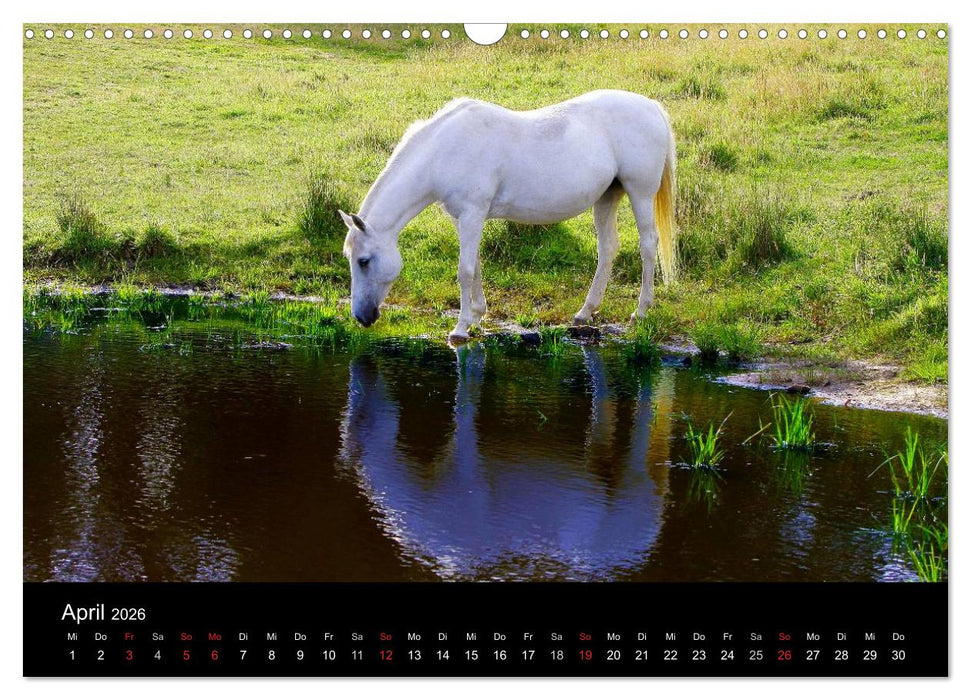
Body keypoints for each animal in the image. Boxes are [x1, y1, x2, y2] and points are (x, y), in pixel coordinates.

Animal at [339, 89, 677, 342]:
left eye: (364, 261)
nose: (362, 317)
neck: (444, 149)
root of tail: (651, 107)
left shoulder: (472, 214)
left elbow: (465, 270)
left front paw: (460, 328)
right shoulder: (463, 218)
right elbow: (475, 264)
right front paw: (477, 315)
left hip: (640, 193)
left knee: (648, 246)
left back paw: (641, 311)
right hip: (607, 197)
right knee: (608, 249)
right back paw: (585, 312)